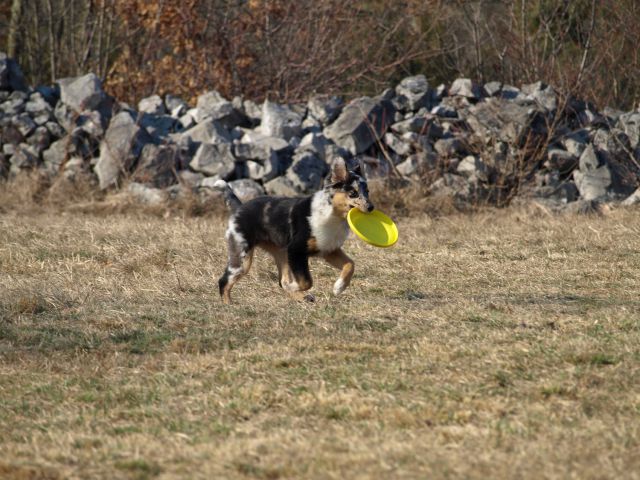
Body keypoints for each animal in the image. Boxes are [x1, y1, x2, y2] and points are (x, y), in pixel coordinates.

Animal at [216, 160, 376, 304]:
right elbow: (306, 281)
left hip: (282, 254)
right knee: (224, 281)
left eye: (368, 192)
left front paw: (339, 287)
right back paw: (228, 304)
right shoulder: (296, 250)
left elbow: (350, 264)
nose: (371, 208)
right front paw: (296, 288)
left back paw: (303, 298)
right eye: (353, 193)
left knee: (282, 281)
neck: (331, 213)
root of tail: (239, 208)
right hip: (242, 257)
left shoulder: (329, 250)